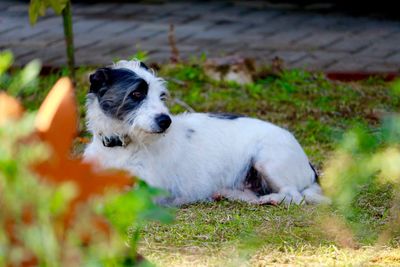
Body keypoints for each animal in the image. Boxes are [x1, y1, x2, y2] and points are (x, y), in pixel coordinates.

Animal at [83, 60, 330, 206]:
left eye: (161, 95)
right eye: (136, 94)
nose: (166, 121)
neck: (121, 146)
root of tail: (309, 166)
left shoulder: (149, 190)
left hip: (268, 160)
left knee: (294, 196)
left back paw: (271, 199)